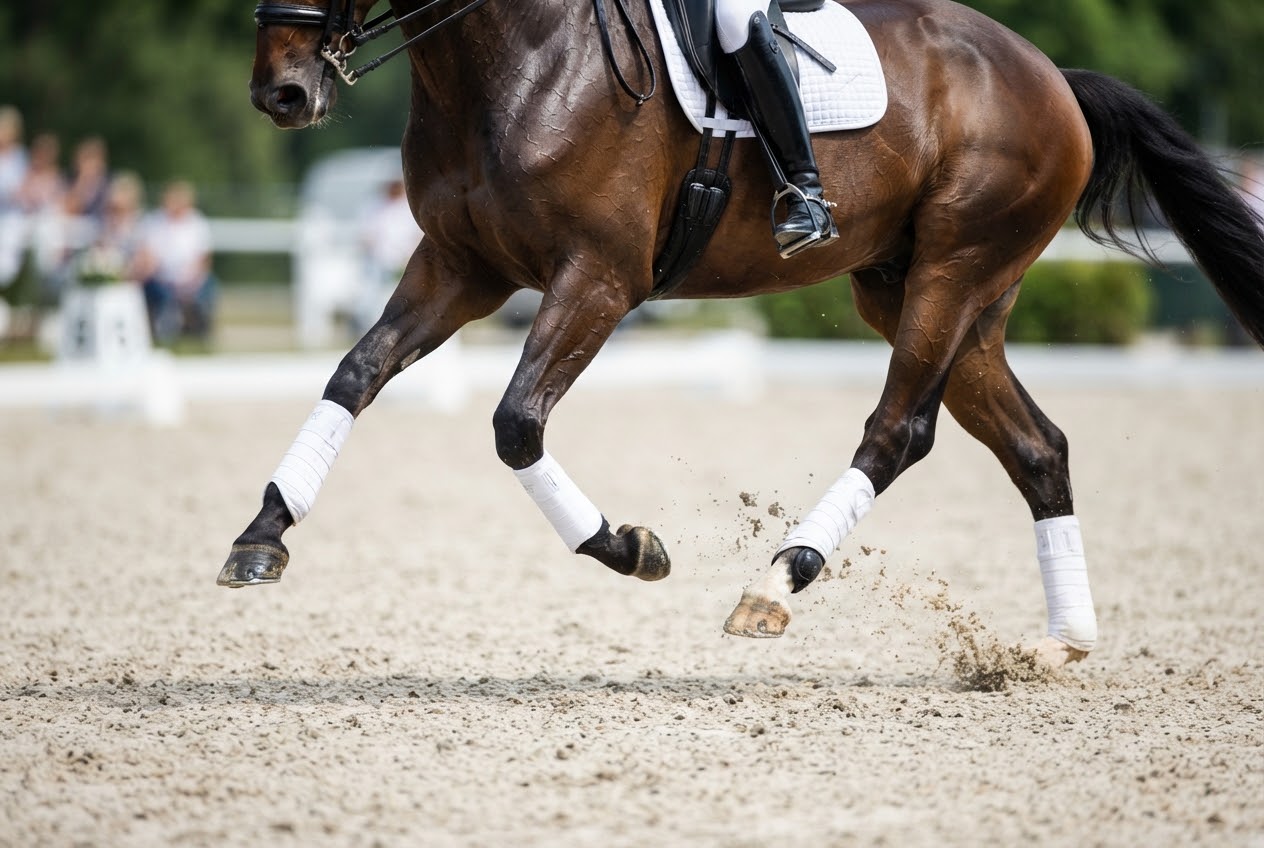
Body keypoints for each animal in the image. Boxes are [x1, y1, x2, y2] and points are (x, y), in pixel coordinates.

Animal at [223, 0, 1264, 668]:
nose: (281, 93)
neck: (514, 59)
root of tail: (1051, 76)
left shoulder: (596, 277)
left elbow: (516, 422)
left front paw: (628, 545)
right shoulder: (459, 266)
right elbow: (355, 374)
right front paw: (263, 535)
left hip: (955, 271)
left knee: (899, 431)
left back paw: (776, 582)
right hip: (933, 296)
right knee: (1037, 447)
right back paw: (1062, 643)